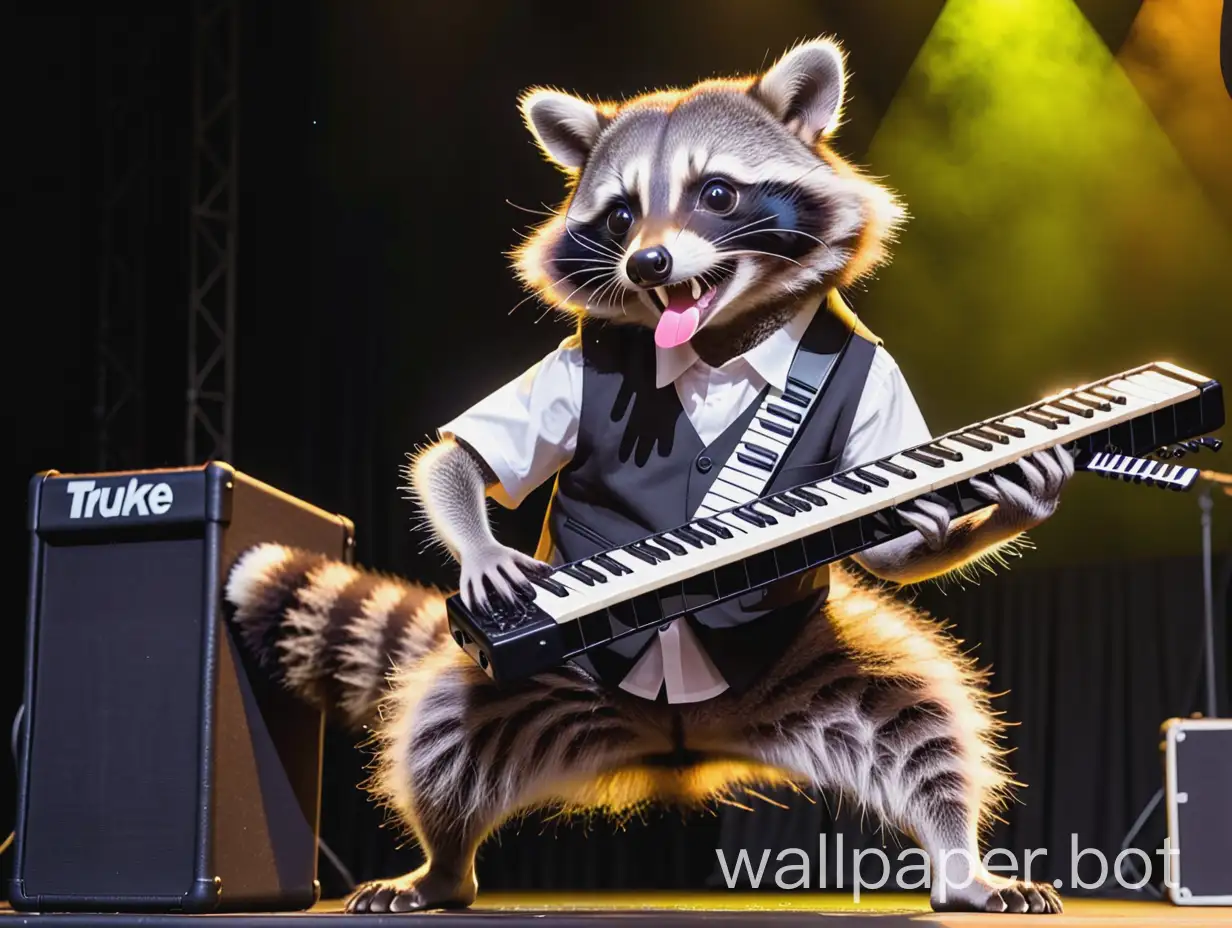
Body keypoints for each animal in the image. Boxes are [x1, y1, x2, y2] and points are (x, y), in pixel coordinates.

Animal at [226, 38, 1074, 911]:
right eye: (621, 215)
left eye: (719, 194)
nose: (648, 263)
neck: (720, 341)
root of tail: (679, 745)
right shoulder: (574, 361)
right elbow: (456, 456)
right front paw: (483, 549)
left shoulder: (875, 376)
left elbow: (892, 553)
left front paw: (1015, 498)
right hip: (543, 684)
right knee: (444, 739)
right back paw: (444, 864)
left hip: (821, 671)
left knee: (921, 725)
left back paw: (958, 860)